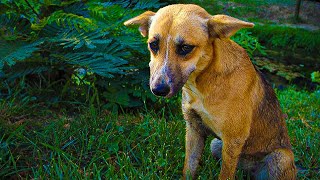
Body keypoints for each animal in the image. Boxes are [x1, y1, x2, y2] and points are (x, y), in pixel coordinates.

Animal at [124, 3, 296, 179]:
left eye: (185, 47)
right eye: (153, 44)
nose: (158, 89)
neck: (203, 84)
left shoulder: (234, 139)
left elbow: (225, 174)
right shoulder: (194, 129)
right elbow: (189, 167)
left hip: (281, 157)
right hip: (216, 144)